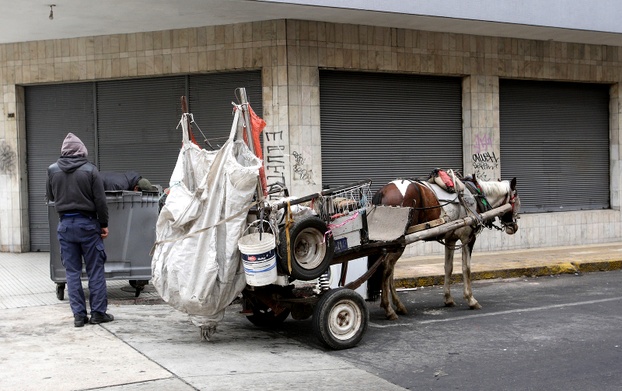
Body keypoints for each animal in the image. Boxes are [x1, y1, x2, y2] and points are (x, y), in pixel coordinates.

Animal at [370, 173, 520, 320]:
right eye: (517, 202)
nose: (514, 227)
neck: (476, 195)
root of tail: (382, 191)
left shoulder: (450, 239)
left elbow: (449, 267)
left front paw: (448, 299)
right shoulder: (468, 238)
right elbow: (466, 268)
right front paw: (471, 299)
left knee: (390, 270)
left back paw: (398, 305)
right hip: (399, 242)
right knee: (387, 268)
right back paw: (389, 309)